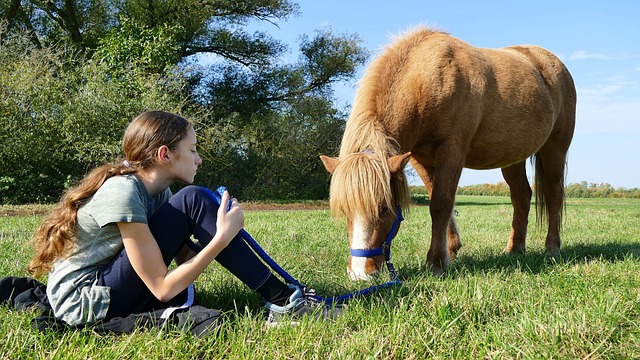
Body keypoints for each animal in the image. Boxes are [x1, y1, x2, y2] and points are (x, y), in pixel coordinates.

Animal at [322, 27, 576, 278]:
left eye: (384, 208)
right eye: (344, 209)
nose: (360, 273)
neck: (426, 80)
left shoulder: (452, 150)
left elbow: (441, 204)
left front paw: (436, 262)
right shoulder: (420, 159)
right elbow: (441, 202)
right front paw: (451, 250)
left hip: (555, 147)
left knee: (553, 193)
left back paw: (552, 248)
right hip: (512, 156)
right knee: (521, 196)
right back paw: (515, 248)